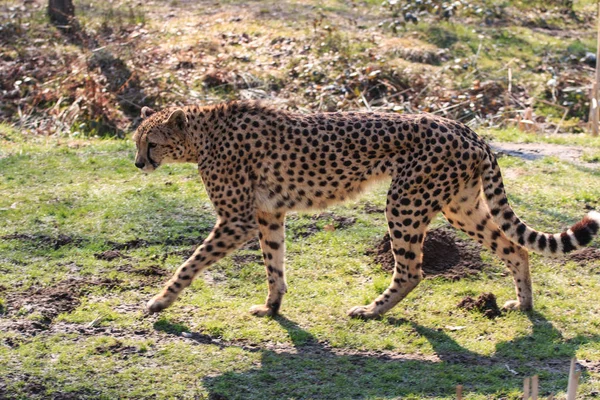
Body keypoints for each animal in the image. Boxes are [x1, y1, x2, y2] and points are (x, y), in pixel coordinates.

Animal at [132, 102, 600, 318]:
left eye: (150, 142)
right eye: (137, 140)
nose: (138, 164)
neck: (201, 135)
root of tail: (466, 128)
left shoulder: (239, 219)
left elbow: (191, 262)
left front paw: (159, 300)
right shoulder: (268, 215)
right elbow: (273, 264)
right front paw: (272, 307)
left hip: (406, 201)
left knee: (411, 270)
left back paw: (372, 311)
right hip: (459, 206)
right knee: (514, 248)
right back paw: (522, 304)